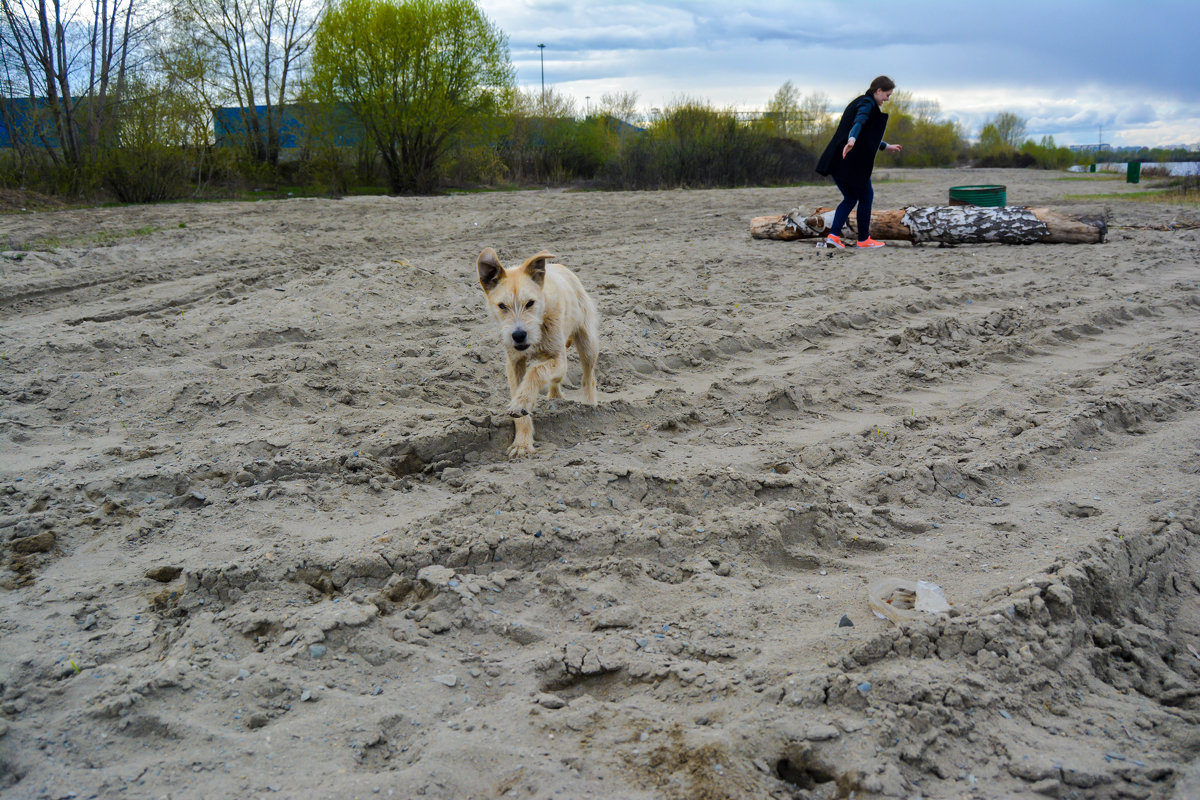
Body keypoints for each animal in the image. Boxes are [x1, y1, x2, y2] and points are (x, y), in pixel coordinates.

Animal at [477, 247, 600, 455]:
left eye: (530, 303)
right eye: (502, 306)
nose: (518, 335)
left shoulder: (559, 358)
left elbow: (535, 371)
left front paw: (522, 402)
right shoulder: (514, 362)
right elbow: (521, 388)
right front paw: (522, 442)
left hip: (587, 343)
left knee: (588, 377)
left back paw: (590, 406)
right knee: (556, 380)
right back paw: (555, 396)